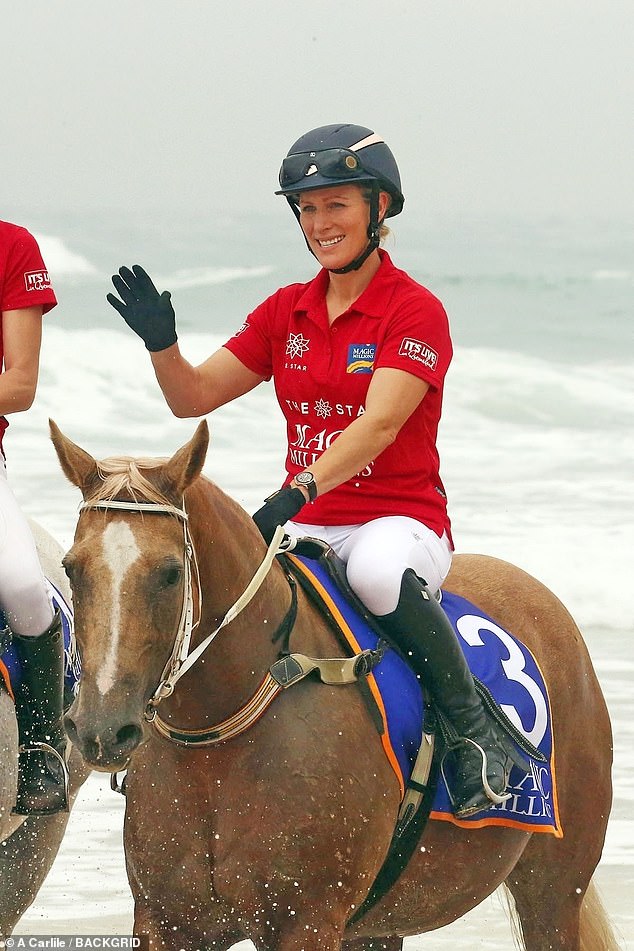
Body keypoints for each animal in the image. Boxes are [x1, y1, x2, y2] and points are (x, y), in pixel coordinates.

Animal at [50, 422, 616, 951]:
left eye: (169, 574)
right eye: (71, 568)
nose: (101, 728)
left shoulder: (306, 922)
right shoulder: (168, 923)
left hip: (553, 892)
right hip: (379, 926)